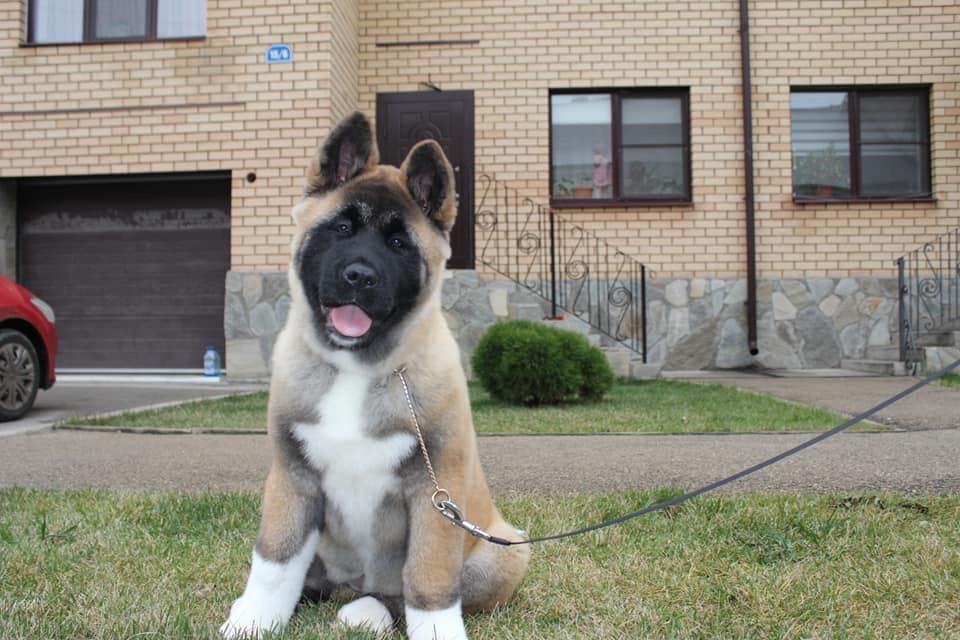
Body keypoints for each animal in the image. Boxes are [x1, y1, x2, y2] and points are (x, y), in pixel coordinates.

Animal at [221, 112, 528, 636]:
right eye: (342, 228)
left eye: (400, 244)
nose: (359, 276)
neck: (357, 369)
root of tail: (354, 585)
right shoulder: (292, 477)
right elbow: (275, 561)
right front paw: (253, 619)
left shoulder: (433, 489)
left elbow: (428, 577)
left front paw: (438, 631)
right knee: (312, 579)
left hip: (502, 553)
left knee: (399, 591)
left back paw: (368, 610)